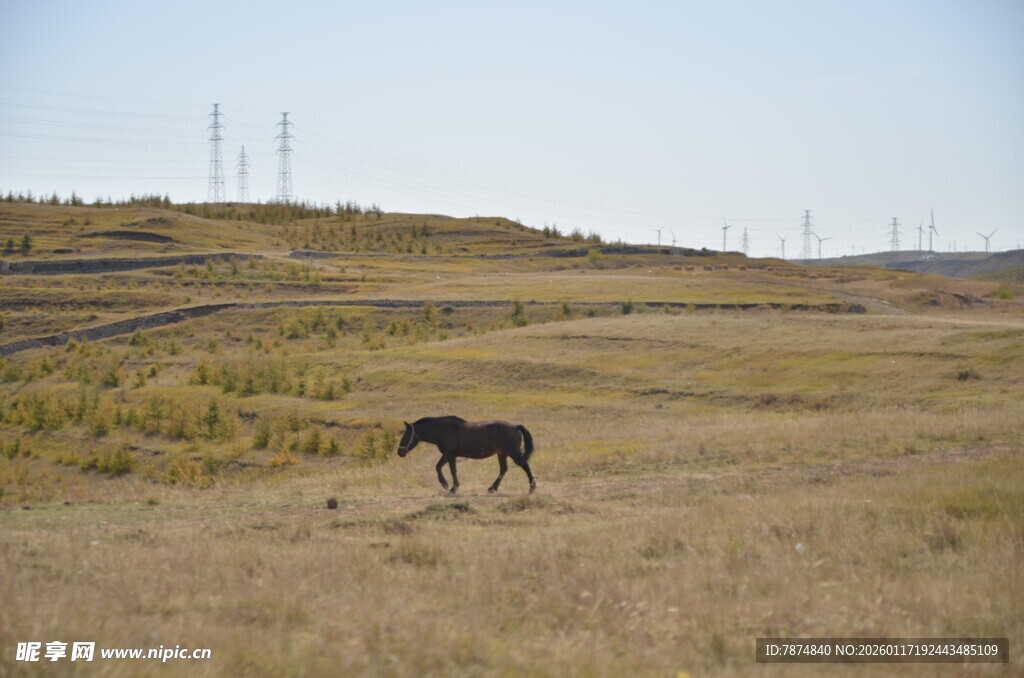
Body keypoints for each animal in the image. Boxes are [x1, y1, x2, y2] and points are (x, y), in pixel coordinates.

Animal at [396, 416, 536, 494]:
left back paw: (532, 488)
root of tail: (515, 426)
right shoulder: (446, 454)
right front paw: (445, 484)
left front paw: (453, 487)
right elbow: (438, 467)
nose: (400, 452)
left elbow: (453, 470)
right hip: (502, 453)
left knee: (525, 465)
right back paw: (492, 488)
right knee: (503, 469)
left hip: (513, 452)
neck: (443, 430)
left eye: (406, 435)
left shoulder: (451, 455)